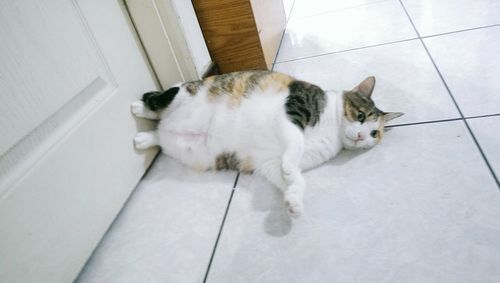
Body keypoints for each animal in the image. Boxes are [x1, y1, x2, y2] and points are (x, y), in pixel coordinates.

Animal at [131, 70, 404, 219]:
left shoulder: (270, 162)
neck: (332, 129)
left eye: (374, 133)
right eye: (361, 116)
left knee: (161, 136)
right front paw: (290, 170)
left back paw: (144, 138)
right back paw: (138, 107)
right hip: (188, 93)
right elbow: (295, 141)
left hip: (192, 151)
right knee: (163, 98)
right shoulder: (292, 109)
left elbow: (293, 178)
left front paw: (294, 202)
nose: (361, 137)